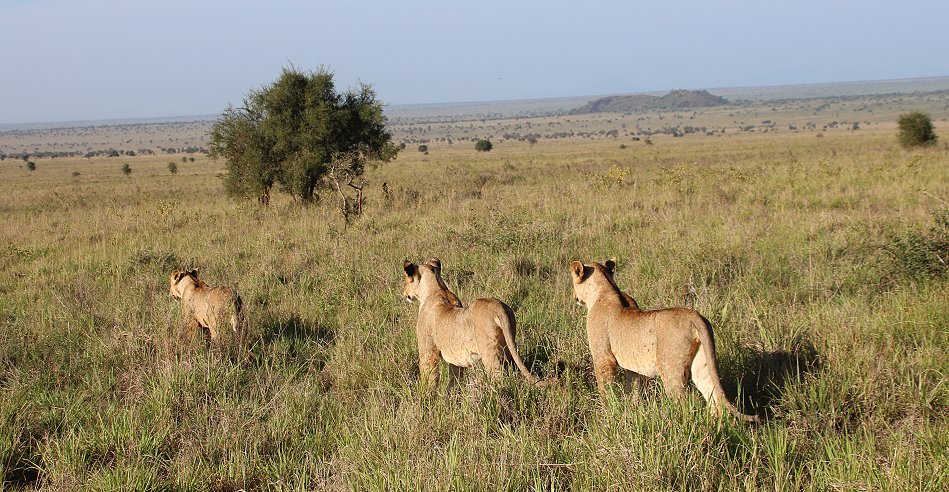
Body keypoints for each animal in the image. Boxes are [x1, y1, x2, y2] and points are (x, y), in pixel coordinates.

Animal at [404, 258, 552, 388]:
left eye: (406, 280)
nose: (404, 292)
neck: (437, 288)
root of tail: (498, 306)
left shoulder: (428, 353)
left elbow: (429, 379)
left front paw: (426, 398)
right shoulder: (455, 361)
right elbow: (453, 382)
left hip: (489, 353)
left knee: (500, 377)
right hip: (509, 349)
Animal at [568, 258, 760, 422]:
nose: (574, 297)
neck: (605, 289)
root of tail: (694, 316)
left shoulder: (603, 358)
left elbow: (605, 388)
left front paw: (607, 412)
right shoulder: (633, 368)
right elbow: (634, 389)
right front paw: (632, 411)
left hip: (670, 369)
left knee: (683, 403)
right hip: (702, 364)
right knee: (714, 398)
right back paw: (716, 426)